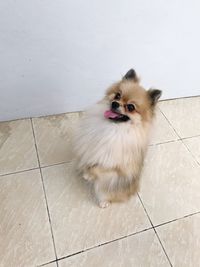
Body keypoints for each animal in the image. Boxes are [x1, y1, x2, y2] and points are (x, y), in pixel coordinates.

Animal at [73, 69, 161, 209]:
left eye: (131, 107)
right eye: (117, 95)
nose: (114, 103)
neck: (112, 127)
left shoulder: (116, 167)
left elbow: (97, 167)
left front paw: (89, 175)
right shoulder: (87, 147)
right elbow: (87, 161)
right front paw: (86, 172)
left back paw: (104, 202)